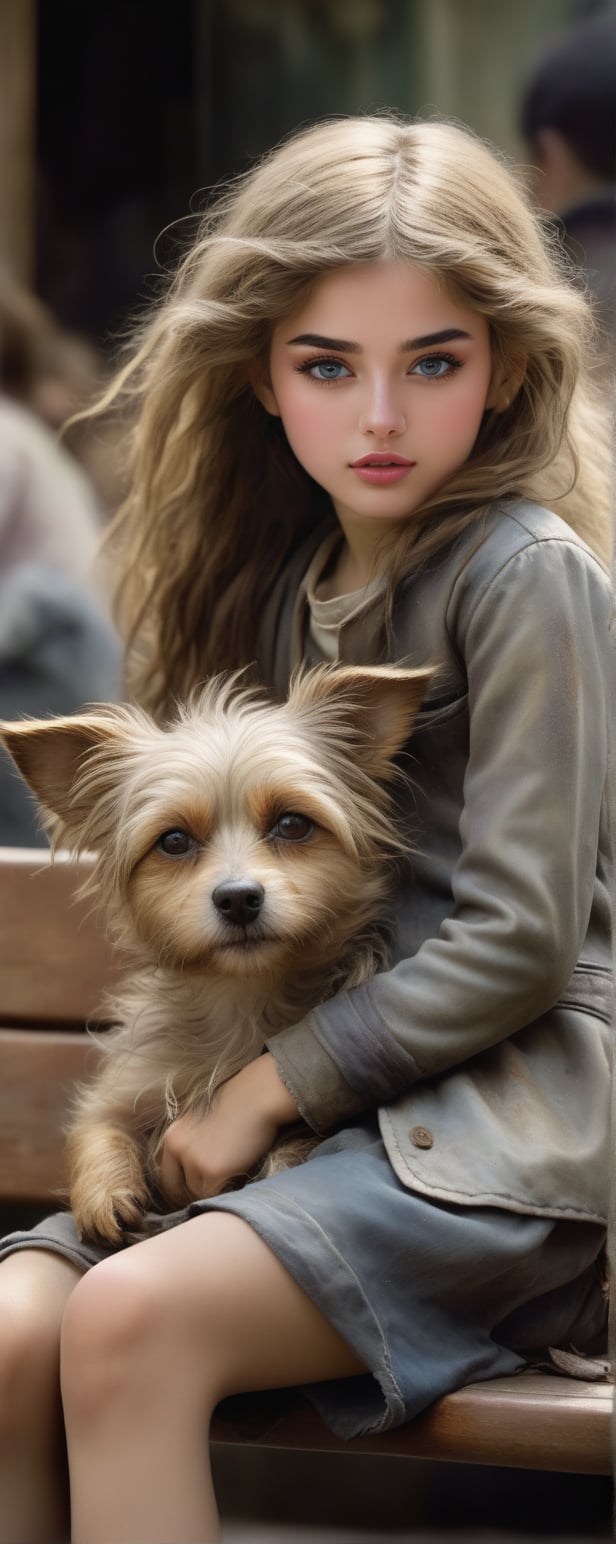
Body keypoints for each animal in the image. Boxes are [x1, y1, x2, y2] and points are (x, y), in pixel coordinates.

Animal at [0, 663, 432, 1241]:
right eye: (174, 841)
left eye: (293, 824)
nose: (238, 899)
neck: (242, 1004)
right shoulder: (126, 1088)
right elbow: (94, 1129)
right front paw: (103, 1192)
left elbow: (289, 1153)